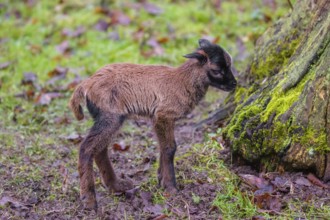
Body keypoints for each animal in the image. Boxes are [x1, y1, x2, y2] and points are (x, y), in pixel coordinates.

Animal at [69, 39, 237, 210]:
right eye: (217, 70)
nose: (234, 84)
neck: (182, 81)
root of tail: (86, 84)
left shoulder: (158, 118)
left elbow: (163, 148)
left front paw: (161, 180)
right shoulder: (163, 116)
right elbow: (170, 148)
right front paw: (171, 188)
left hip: (109, 118)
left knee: (100, 149)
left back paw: (117, 186)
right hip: (110, 117)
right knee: (87, 148)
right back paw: (89, 201)